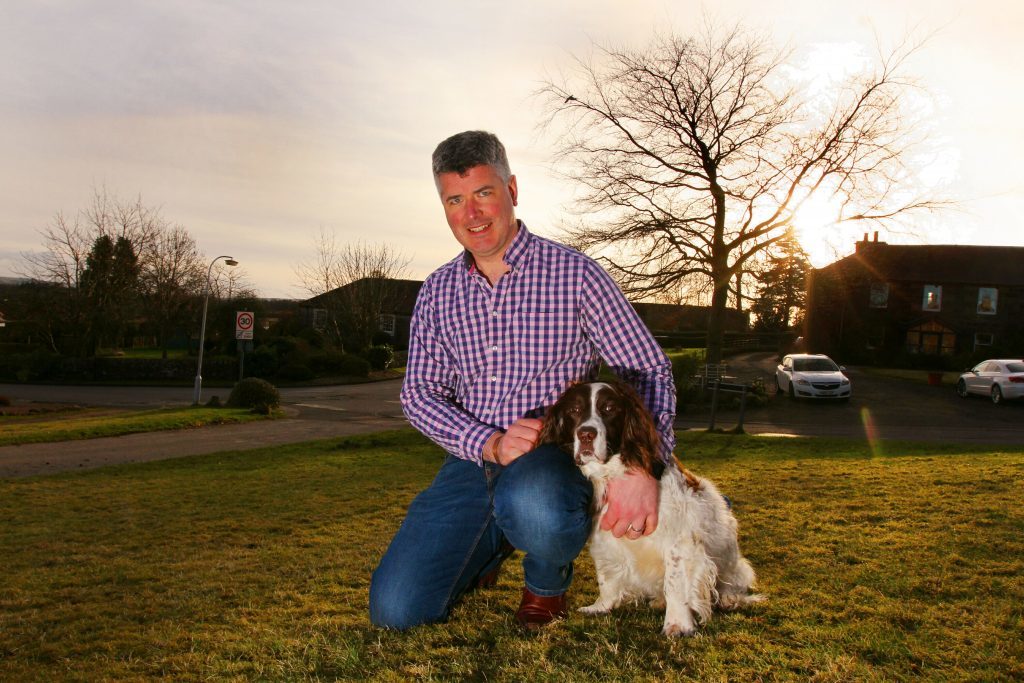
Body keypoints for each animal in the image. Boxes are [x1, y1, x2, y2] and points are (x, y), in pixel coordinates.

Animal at [540, 382, 765, 638]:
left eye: (609, 408)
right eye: (574, 410)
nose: (586, 434)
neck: (613, 473)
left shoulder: (679, 542)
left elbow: (676, 584)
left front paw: (678, 624)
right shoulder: (603, 538)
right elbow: (606, 577)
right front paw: (601, 606)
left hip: (733, 564)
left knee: (732, 586)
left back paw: (729, 599)